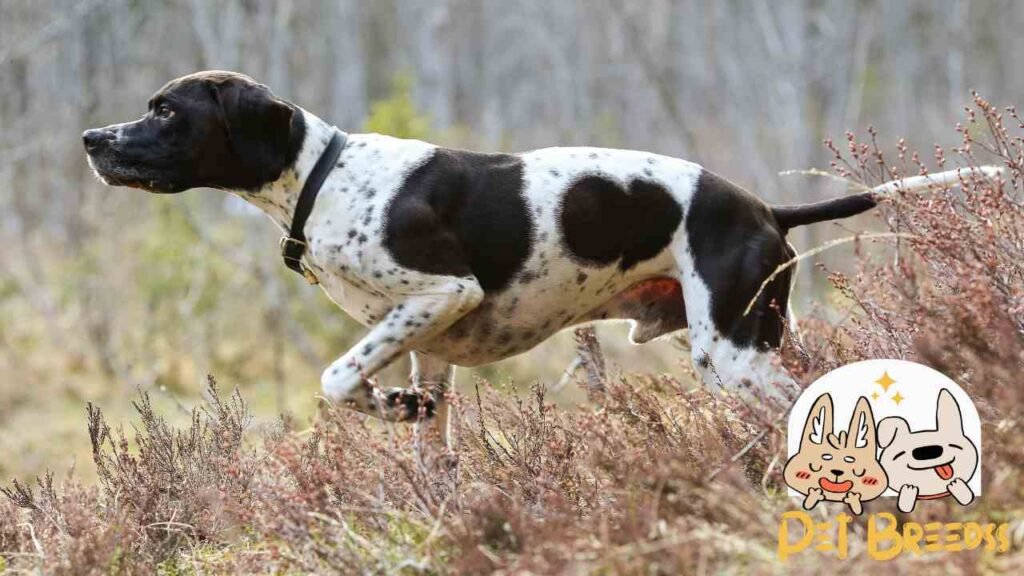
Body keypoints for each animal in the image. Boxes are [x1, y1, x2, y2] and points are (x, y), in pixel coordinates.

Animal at [81, 68, 880, 434]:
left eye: (165, 110)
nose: (90, 138)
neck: (324, 177)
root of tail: (764, 208)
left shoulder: (443, 292)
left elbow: (337, 377)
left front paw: (376, 400)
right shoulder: (429, 350)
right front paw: (398, 417)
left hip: (733, 357)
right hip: (747, 342)